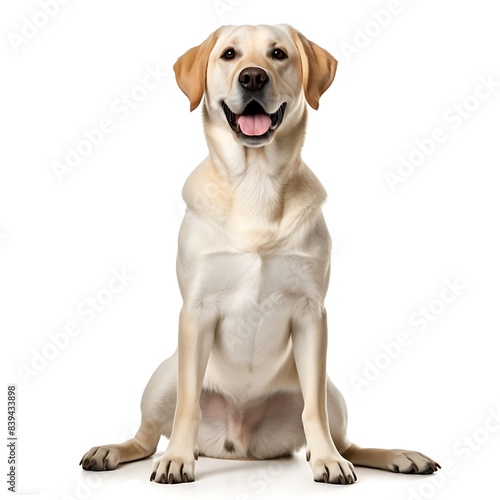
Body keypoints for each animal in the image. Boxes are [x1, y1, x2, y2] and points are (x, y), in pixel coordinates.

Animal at [80, 23, 440, 484]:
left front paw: (326, 460)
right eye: (230, 54)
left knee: (345, 439)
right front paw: (177, 457)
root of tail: (238, 444)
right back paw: (113, 450)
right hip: (163, 377)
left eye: (278, 53)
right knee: (146, 436)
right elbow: (187, 407)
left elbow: (314, 413)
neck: (256, 183)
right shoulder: (195, 312)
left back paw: (392, 455)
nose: (253, 77)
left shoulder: (311, 314)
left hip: (332, 390)